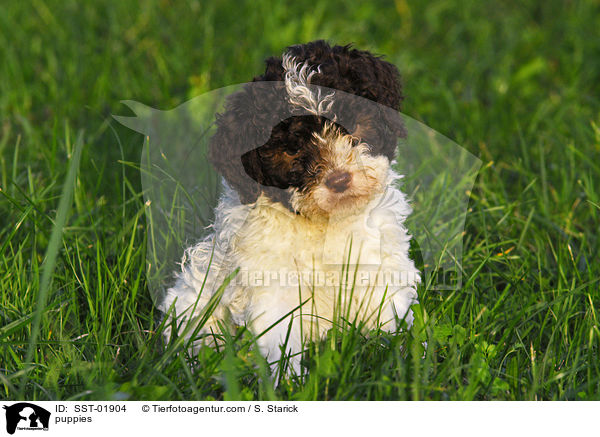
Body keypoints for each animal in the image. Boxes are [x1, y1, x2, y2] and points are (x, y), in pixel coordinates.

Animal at [162, 40, 420, 374]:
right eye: (292, 150)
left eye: (352, 124)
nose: (339, 180)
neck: (323, 225)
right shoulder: (273, 287)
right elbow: (280, 339)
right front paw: (289, 380)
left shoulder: (379, 267)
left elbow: (389, 318)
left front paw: (400, 364)